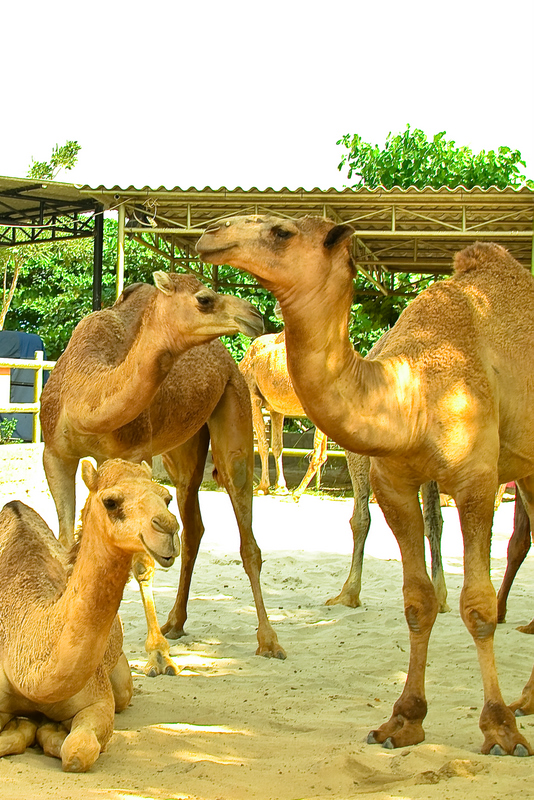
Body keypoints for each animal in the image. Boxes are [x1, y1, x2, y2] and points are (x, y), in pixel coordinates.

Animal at [0, 460, 180, 772]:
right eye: (111, 502)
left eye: (167, 497)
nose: (168, 529)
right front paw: (30, 726)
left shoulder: (98, 701)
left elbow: (77, 752)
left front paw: (48, 730)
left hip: (121, 683)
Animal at [40, 272, 288, 680]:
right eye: (204, 299)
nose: (255, 315)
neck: (84, 393)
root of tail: (229, 362)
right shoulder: (55, 455)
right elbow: (64, 543)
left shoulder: (135, 452)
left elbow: (142, 564)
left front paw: (158, 657)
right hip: (182, 449)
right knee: (193, 525)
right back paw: (176, 621)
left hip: (235, 409)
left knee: (245, 533)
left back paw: (269, 641)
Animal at [240, 328, 330, 496]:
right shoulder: (276, 410)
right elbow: (277, 446)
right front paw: (280, 487)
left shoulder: (252, 399)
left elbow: (262, 445)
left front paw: (262, 487)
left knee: (319, 453)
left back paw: (297, 493)